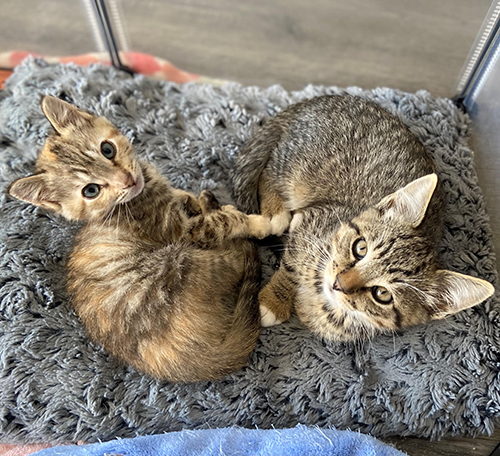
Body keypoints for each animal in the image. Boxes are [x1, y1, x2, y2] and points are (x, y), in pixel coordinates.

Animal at [8, 96, 274, 382]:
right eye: (91, 191)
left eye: (107, 150)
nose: (127, 180)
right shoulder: (183, 231)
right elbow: (222, 223)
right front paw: (255, 222)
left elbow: (181, 196)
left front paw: (189, 199)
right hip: (179, 260)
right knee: (236, 258)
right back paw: (215, 206)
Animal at [232, 93, 494, 342]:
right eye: (360, 248)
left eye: (382, 294)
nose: (339, 282)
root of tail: (318, 101)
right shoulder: (313, 220)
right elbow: (291, 266)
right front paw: (272, 302)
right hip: (297, 165)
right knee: (268, 170)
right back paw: (275, 213)